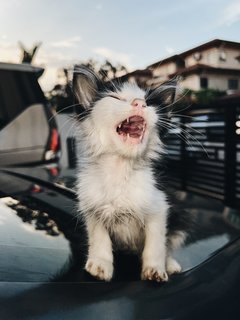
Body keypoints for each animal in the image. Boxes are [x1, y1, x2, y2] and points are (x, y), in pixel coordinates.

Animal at [73, 66, 191, 282]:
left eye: (149, 102)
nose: (140, 103)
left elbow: (156, 242)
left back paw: (170, 264)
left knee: (169, 245)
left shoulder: (160, 206)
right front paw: (100, 265)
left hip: (181, 218)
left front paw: (154, 269)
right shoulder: (92, 207)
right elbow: (98, 236)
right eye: (114, 97)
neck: (121, 167)